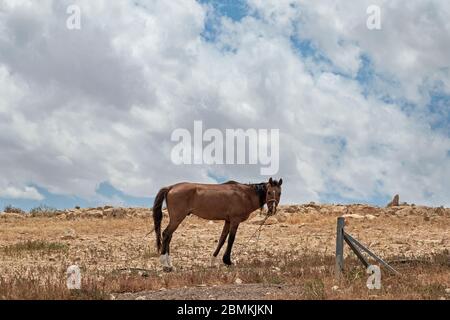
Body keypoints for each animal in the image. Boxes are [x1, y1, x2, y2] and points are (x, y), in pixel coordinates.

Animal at [153, 178, 284, 270]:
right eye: (268, 192)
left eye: (279, 193)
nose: (272, 210)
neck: (244, 194)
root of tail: (171, 187)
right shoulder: (235, 221)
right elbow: (231, 240)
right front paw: (228, 261)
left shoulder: (228, 221)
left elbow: (222, 239)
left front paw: (213, 261)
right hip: (177, 218)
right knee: (166, 234)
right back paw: (165, 264)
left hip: (175, 219)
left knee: (169, 237)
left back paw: (170, 264)